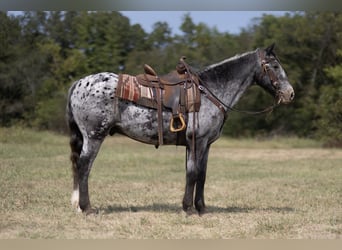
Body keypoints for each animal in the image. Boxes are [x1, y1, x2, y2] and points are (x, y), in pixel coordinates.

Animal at [66, 43, 294, 215]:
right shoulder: (198, 141)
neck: (210, 91)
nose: (290, 94)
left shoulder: (204, 144)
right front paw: (189, 208)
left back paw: (78, 206)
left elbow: (201, 174)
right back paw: (86, 207)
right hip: (94, 136)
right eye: (274, 65)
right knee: (84, 166)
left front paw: (200, 208)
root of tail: (78, 83)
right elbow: (193, 173)